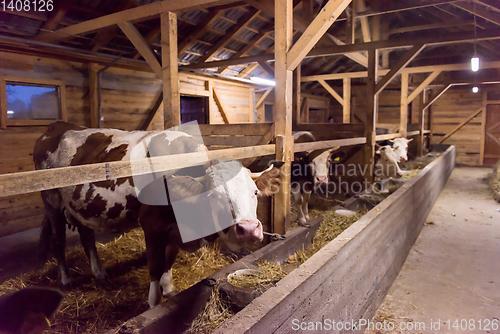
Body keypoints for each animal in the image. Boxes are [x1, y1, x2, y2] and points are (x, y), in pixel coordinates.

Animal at [34, 121, 286, 306]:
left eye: (255, 192)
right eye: (214, 195)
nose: (249, 229)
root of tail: (57, 126)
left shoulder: (173, 230)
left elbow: (169, 260)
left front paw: (170, 289)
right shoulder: (151, 226)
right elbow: (155, 267)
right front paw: (154, 303)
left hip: (80, 206)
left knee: (87, 238)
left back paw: (100, 274)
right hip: (51, 201)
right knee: (58, 240)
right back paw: (65, 280)